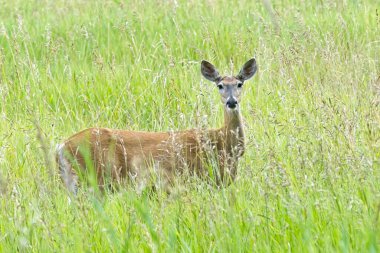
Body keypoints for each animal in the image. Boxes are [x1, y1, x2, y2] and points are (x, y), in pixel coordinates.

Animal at [55, 58, 258, 194]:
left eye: (240, 84)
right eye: (220, 85)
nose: (231, 102)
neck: (224, 143)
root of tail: (62, 146)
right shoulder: (202, 179)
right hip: (96, 178)